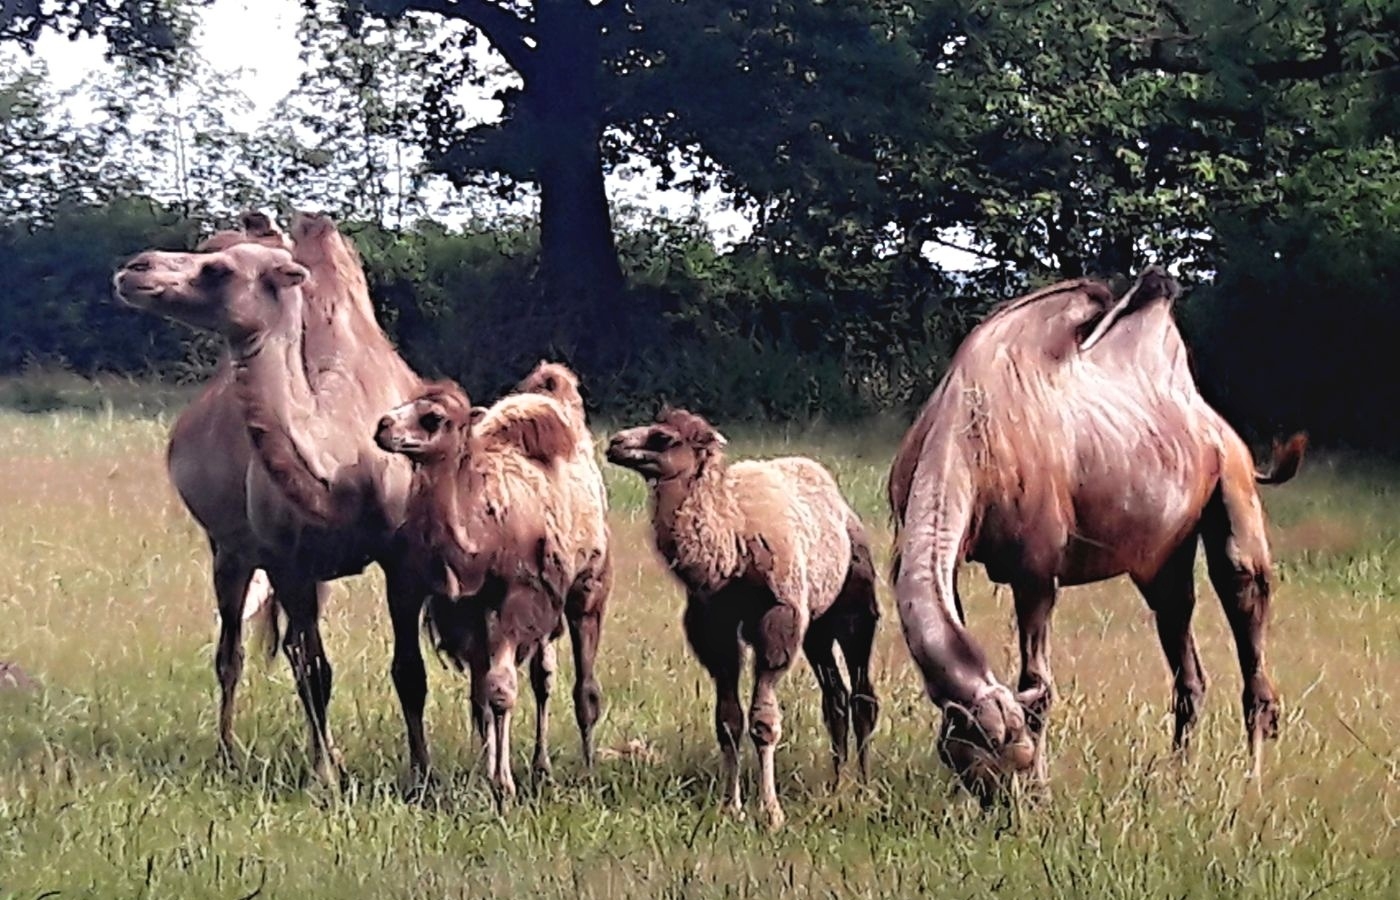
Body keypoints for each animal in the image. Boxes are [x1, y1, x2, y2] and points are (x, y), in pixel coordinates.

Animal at [113, 214, 420, 783]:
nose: (134, 268)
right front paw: (326, 776)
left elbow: (406, 670)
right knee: (234, 652)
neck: (343, 465)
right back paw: (228, 752)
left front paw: (416, 772)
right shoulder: (286, 562)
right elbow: (315, 672)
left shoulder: (400, 555)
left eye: (217, 268)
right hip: (229, 550)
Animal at [372, 380, 613, 800]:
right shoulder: (444, 602)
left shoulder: (514, 599)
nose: (383, 426)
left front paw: (503, 784)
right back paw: (538, 766)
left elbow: (501, 691)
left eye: (434, 417)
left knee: (583, 687)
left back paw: (585, 768)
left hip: (588, 589)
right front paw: (449, 776)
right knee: (538, 678)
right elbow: (445, 685)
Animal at [607, 408, 879, 828]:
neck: (732, 548)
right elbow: (728, 721)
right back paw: (838, 783)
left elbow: (763, 722)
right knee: (835, 696)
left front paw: (771, 811)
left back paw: (862, 788)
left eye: (664, 437)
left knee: (863, 693)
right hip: (815, 627)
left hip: (855, 605)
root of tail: (846, 513)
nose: (615, 443)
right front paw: (729, 805)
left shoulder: (778, 620)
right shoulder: (714, 627)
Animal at [890, 264, 1304, 800]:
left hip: (1231, 485)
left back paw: (1251, 779)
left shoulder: (1036, 569)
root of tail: (1218, 429)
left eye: (1013, 761)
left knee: (1245, 596)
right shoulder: (951, 554)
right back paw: (1178, 777)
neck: (970, 431)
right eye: (970, 761)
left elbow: (1038, 684)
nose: (1003, 804)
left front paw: (1044, 791)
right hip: (1161, 557)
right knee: (1183, 649)